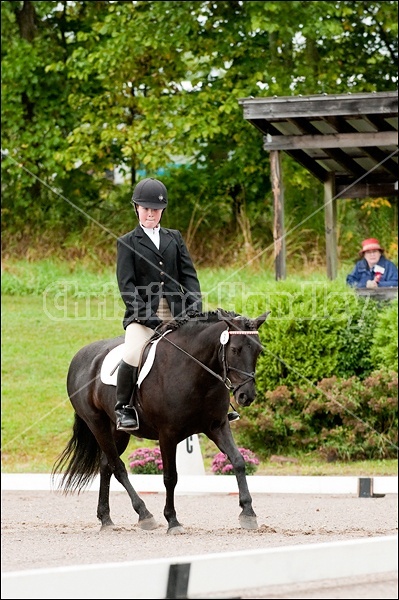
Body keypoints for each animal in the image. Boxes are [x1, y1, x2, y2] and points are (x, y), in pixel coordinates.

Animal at [52, 310, 268, 536]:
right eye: (235, 349)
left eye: (258, 350)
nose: (246, 396)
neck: (196, 372)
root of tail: (80, 357)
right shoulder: (167, 434)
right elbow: (170, 477)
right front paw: (172, 521)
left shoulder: (217, 426)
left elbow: (238, 461)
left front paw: (248, 513)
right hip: (97, 424)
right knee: (118, 467)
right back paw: (144, 514)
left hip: (118, 431)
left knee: (106, 465)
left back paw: (106, 519)